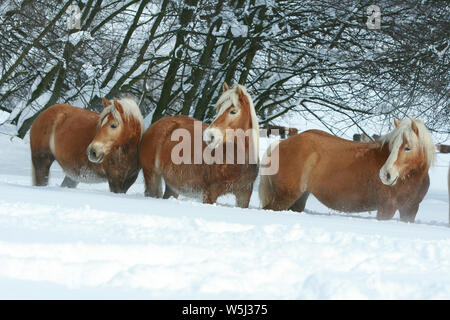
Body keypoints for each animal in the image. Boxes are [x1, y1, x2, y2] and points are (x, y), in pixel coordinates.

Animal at [258, 117, 434, 222]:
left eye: (408, 148)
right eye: (392, 146)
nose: (386, 174)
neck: (410, 178)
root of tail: (281, 144)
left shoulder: (410, 210)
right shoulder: (386, 208)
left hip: (298, 198)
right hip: (284, 197)